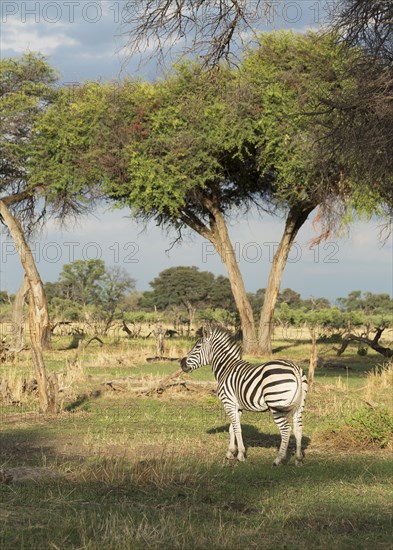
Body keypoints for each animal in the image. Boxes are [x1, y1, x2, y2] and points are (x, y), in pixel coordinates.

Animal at [179, 326, 308, 468]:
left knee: (286, 430)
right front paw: (231, 452)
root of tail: (294, 367)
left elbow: (237, 428)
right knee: (298, 429)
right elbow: (232, 428)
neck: (226, 368)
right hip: (299, 406)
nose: (181, 363)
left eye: (197, 346)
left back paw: (278, 460)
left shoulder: (228, 402)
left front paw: (240, 455)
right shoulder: (237, 406)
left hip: (276, 405)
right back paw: (298, 459)